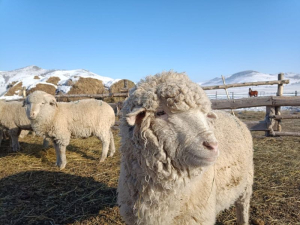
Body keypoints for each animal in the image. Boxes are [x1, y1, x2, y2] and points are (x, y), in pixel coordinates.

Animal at [117, 71, 253, 224]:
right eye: (160, 112)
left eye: (205, 115)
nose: (212, 145)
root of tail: (231, 114)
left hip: (246, 183)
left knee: (243, 207)